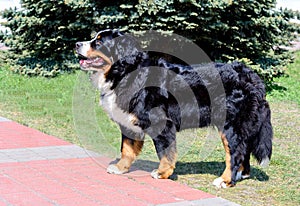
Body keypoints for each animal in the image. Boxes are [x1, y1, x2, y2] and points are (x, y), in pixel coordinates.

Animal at [75, 29, 272, 188]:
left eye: (99, 42)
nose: (77, 44)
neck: (126, 73)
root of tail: (251, 75)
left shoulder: (162, 123)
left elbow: (165, 152)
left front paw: (163, 173)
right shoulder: (128, 123)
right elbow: (127, 149)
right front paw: (120, 168)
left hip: (230, 126)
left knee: (235, 153)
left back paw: (225, 180)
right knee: (243, 150)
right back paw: (240, 175)